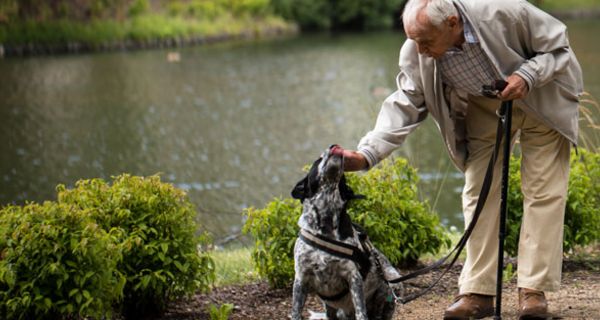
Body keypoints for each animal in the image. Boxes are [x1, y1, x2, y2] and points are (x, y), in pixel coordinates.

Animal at [292, 146, 404, 320]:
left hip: (394, 282)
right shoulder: (300, 279)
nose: (333, 145)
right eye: (318, 159)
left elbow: (361, 312)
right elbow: (296, 312)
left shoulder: (353, 278)